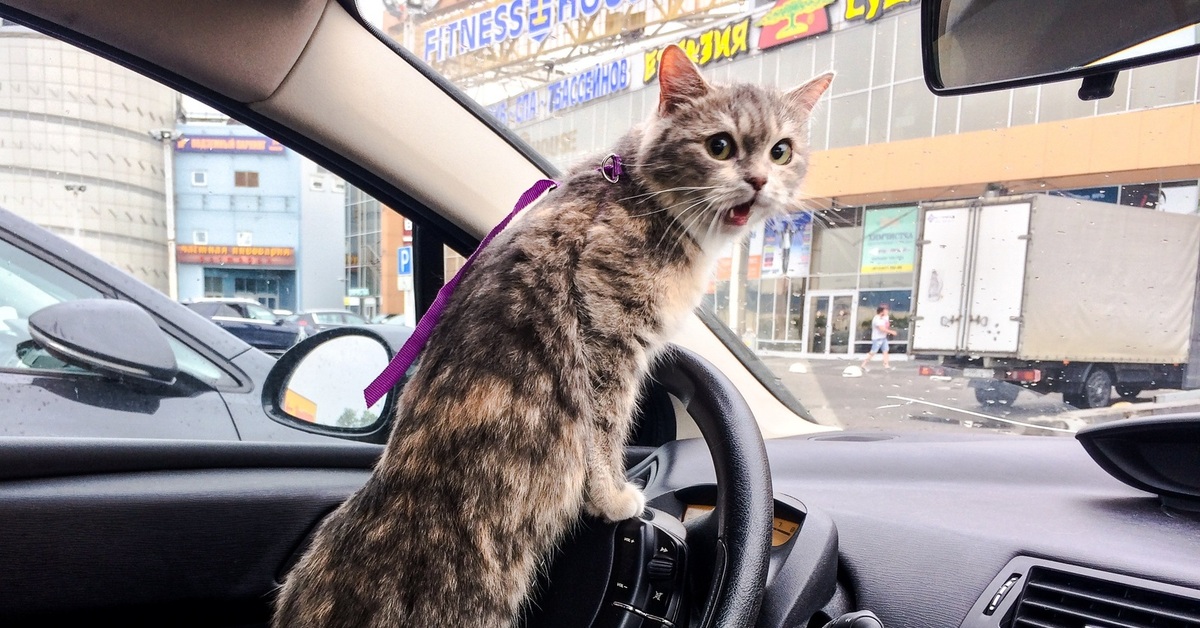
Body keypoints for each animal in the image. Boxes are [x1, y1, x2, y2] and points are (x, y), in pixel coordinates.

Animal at [273, 44, 835, 628]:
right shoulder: (609, 343)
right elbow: (604, 436)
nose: (759, 181)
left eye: (782, 151)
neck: (639, 193)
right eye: (719, 146)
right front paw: (613, 498)